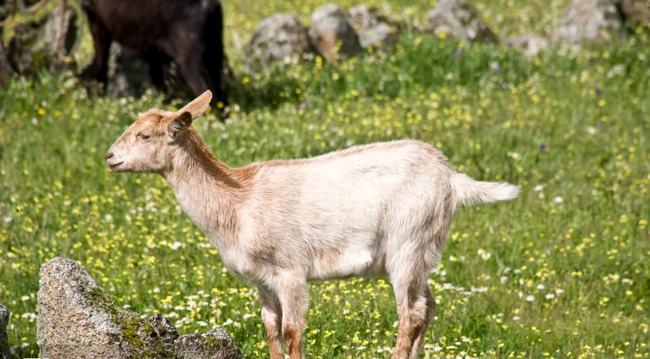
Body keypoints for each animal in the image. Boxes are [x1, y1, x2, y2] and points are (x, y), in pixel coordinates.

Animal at [80, 0, 227, 106]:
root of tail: (210, 6)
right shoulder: (153, 48)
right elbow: (158, 80)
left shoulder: (97, 21)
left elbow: (100, 63)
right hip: (215, 49)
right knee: (219, 90)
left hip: (190, 55)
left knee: (206, 91)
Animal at [106, 91, 516, 358]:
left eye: (144, 135)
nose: (110, 156)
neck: (239, 202)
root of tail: (452, 179)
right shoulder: (262, 280)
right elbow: (271, 330)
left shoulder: (292, 270)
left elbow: (292, 332)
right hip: (422, 250)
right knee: (427, 306)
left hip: (409, 242)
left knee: (410, 313)